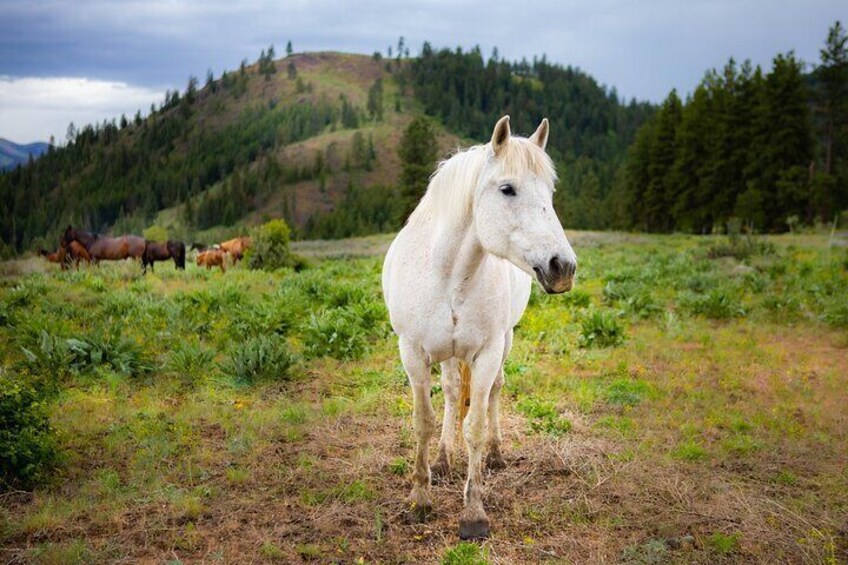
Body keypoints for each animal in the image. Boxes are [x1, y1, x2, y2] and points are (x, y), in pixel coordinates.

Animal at [382, 114, 576, 536]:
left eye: (550, 191)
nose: (563, 268)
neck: (448, 274)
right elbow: (423, 420)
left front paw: (473, 513)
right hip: (448, 354)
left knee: (494, 393)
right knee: (453, 392)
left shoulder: (487, 352)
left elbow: (475, 425)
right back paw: (442, 459)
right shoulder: (412, 353)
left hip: (505, 341)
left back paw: (497, 454)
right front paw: (420, 498)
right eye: (507, 189)